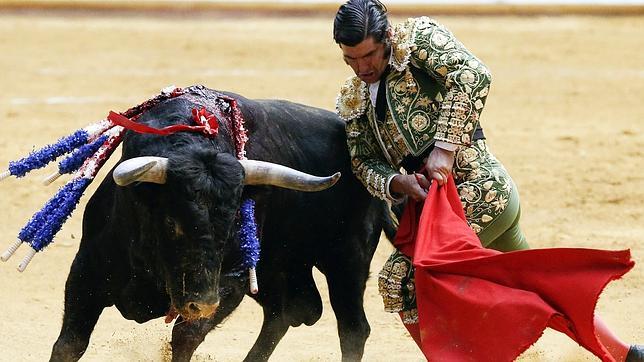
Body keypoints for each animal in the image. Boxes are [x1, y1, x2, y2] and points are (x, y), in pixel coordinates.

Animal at [51, 85, 392, 362]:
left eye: (231, 225)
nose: (202, 303)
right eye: (172, 222)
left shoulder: (231, 283)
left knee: (352, 328)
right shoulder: (85, 271)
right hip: (281, 267)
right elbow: (69, 345)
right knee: (287, 311)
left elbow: (185, 336)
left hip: (347, 260)